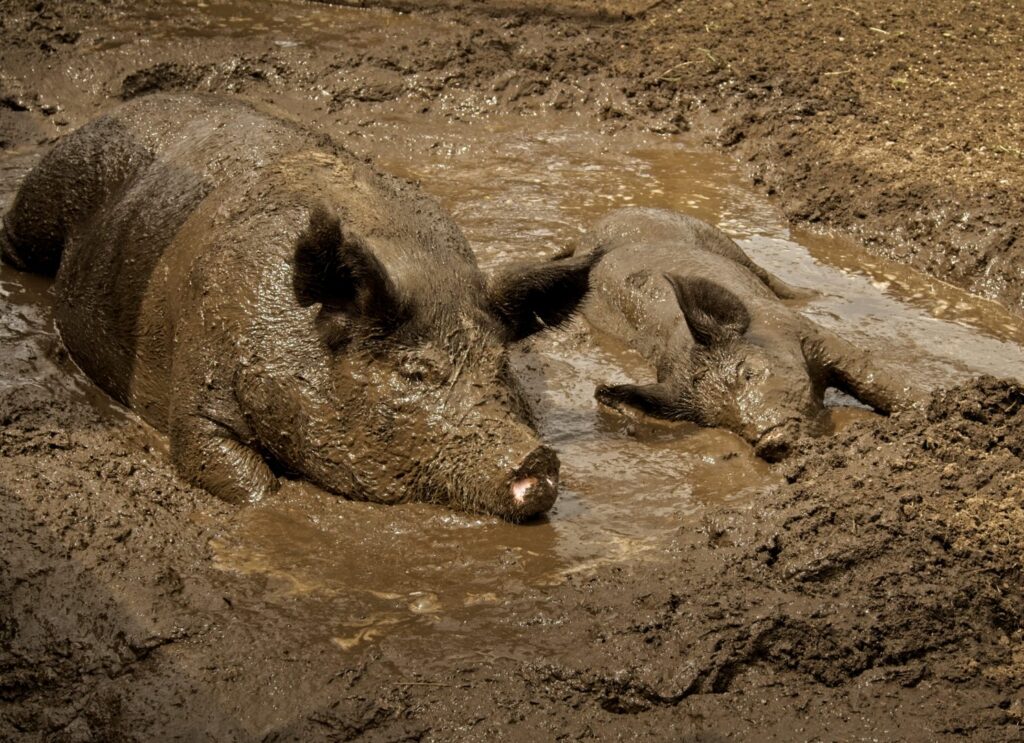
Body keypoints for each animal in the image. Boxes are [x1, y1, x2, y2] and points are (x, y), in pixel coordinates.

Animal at [2, 93, 598, 521]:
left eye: (499, 366)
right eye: (415, 370)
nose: (537, 456)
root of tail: (118, 107)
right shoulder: (196, 379)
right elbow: (232, 473)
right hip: (45, 200)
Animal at [577, 204, 921, 460]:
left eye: (748, 373)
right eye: (718, 419)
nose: (771, 439)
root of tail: (600, 227)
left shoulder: (804, 331)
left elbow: (868, 374)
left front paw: (923, 406)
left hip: (715, 237)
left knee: (766, 273)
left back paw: (817, 294)